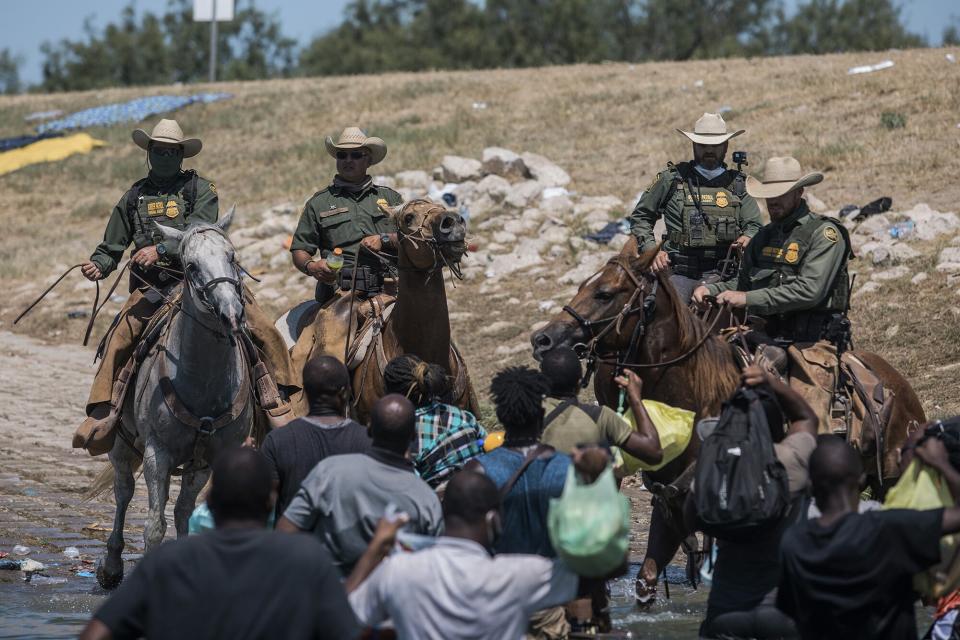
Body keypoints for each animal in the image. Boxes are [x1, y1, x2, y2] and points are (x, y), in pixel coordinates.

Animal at [528, 239, 928, 604]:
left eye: (604, 293)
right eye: (584, 285)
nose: (541, 339)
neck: (697, 398)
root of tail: (900, 387)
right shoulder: (669, 509)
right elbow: (647, 578)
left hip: (890, 482)